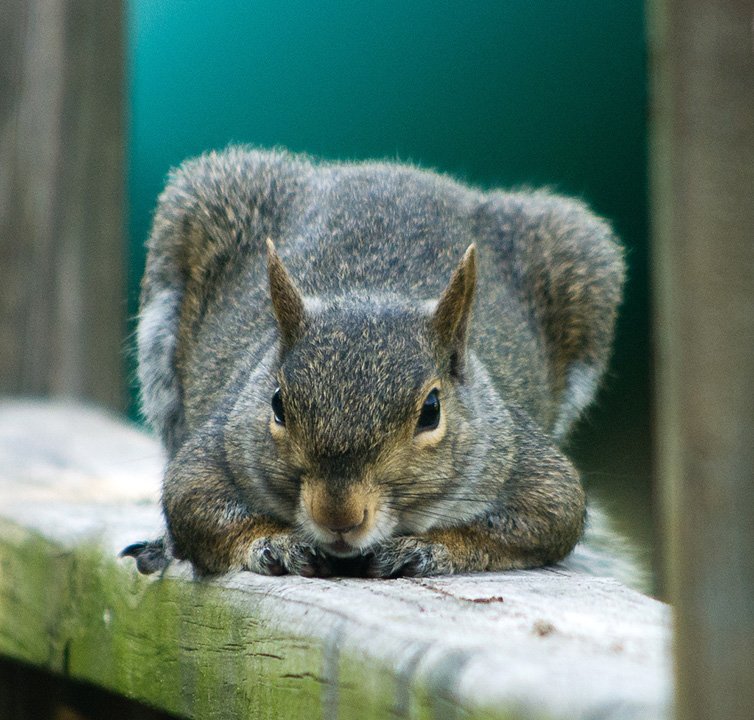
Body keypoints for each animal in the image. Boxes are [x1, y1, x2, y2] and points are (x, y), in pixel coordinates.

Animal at [123, 146, 628, 580]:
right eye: (277, 404)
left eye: (431, 412)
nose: (338, 515)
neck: (372, 292)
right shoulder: (214, 454)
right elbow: (195, 510)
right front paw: (274, 541)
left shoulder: (531, 471)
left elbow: (546, 525)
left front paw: (430, 547)